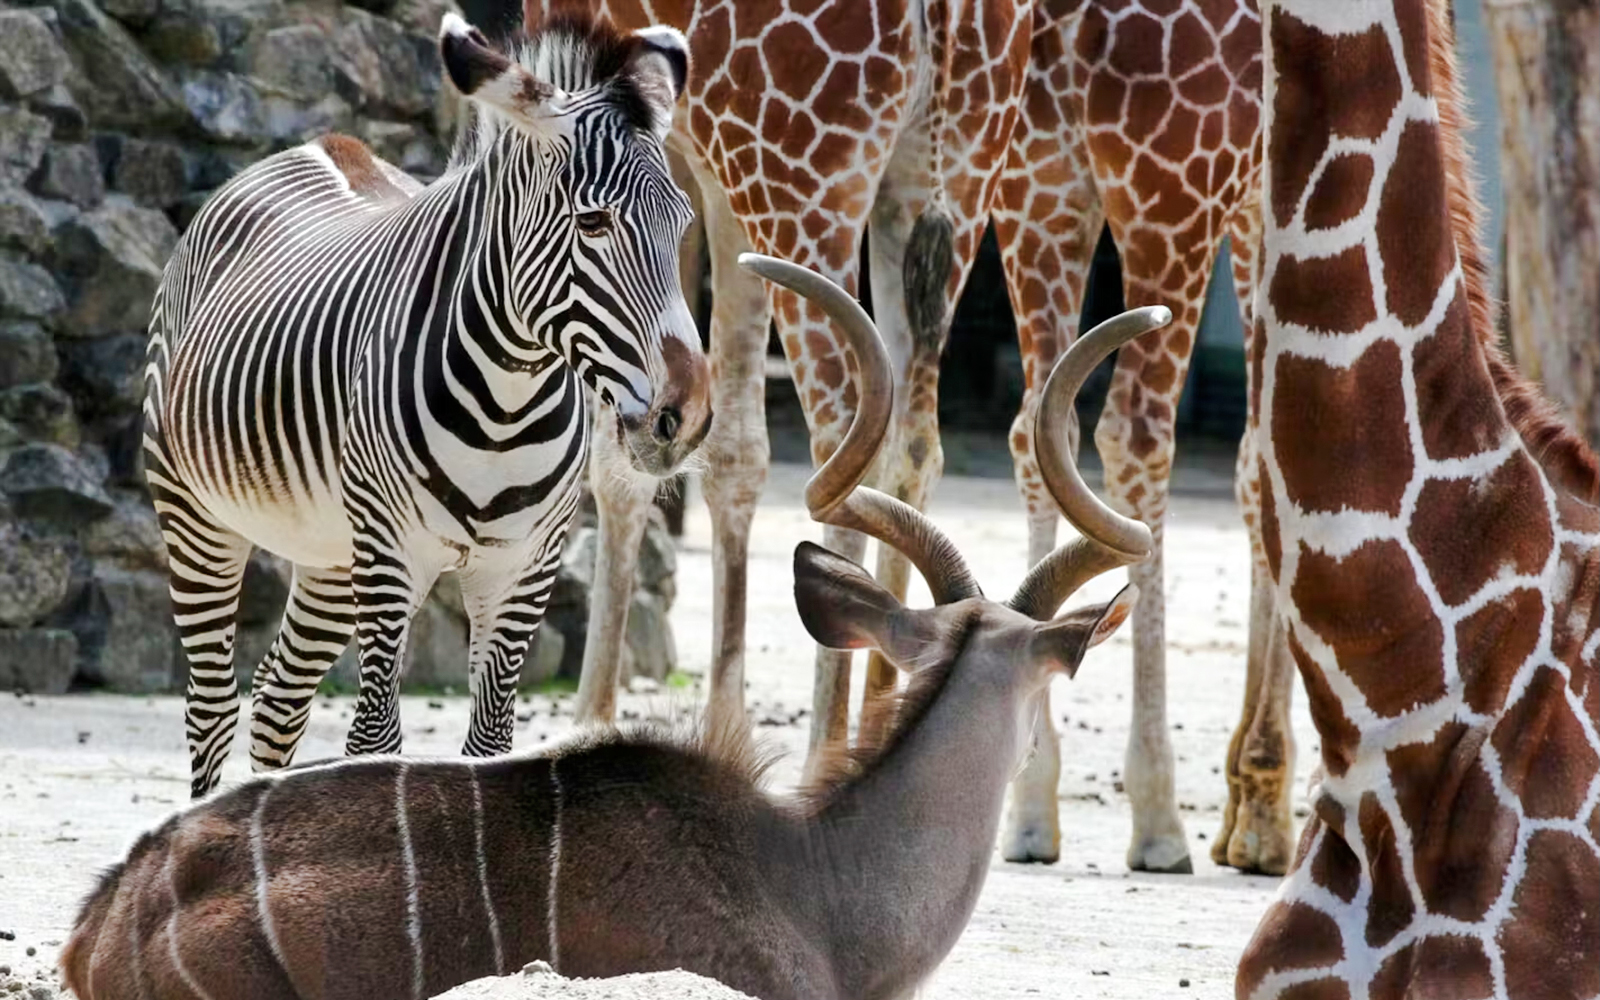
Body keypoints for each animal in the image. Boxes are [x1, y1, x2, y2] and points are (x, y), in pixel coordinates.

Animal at [141, 10, 711, 798]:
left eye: (683, 223)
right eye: (593, 222)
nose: (684, 418)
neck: (506, 405)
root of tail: (317, 144)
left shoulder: (523, 569)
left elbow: (491, 744)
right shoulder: (391, 555)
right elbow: (375, 739)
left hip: (329, 550)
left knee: (278, 698)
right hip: (195, 512)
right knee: (213, 707)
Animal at [541, 0, 1033, 754]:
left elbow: (619, 463)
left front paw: (590, 721)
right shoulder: (701, 166)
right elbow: (732, 449)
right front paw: (724, 728)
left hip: (806, 183)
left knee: (848, 438)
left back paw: (826, 753)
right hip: (953, 179)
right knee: (915, 444)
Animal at [989, 0, 1288, 874]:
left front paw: (1249, 809)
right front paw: (1263, 816)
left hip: (1037, 191)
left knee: (1039, 423)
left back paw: (1031, 807)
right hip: (1170, 195)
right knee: (1136, 430)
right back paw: (1159, 819)